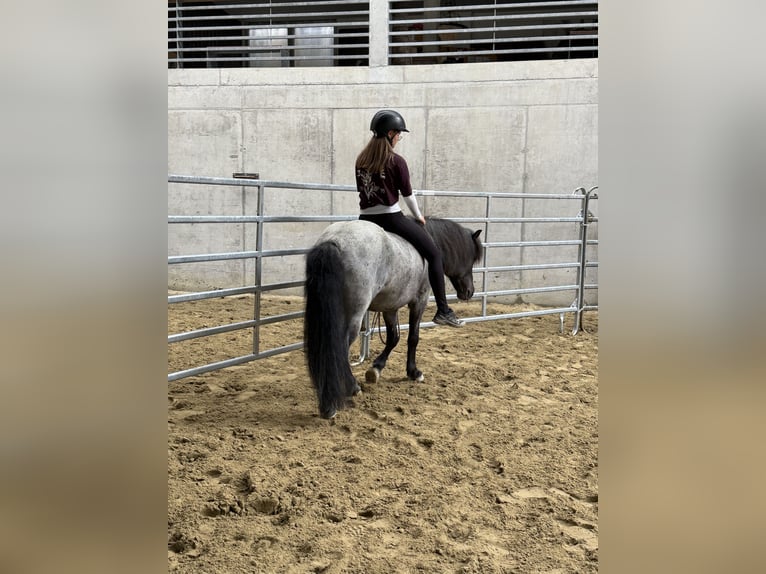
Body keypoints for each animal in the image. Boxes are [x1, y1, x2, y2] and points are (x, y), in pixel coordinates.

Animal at [303, 217, 483, 419]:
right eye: (471, 258)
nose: (469, 291)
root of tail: (334, 240)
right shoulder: (419, 301)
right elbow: (413, 338)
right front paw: (414, 372)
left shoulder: (390, 307)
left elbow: (393, 338)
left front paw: (376, 369)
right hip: (354, 313)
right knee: (340, 346)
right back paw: (350, 389)